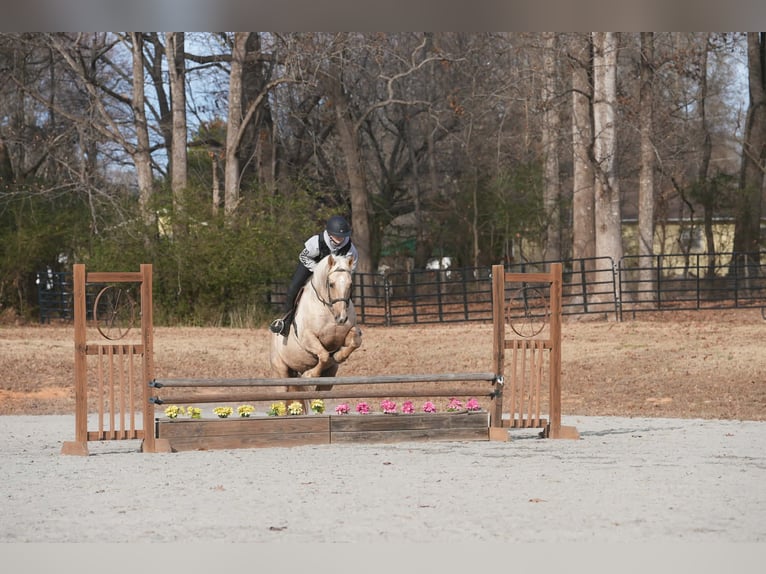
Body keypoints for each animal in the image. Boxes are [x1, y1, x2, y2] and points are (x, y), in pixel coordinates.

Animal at [269, 253, 363, 412]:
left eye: (350, 285)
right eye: (331, 284)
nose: (342, 318)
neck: (329, 309)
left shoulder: (342, 337)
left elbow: (355, 341)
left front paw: (339, 356)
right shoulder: (308, 338)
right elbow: (323, 355)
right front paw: (310, 374)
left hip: (329, 377)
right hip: (280, 372)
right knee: (282, 397)